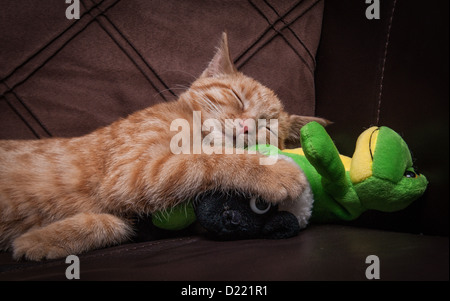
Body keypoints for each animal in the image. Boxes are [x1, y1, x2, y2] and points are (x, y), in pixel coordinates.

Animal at [1, 32, 328, 258]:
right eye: (238, 98)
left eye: (267, 126)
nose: (247, 127)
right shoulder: (131, 172)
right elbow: (207, 159)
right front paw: (276, 171)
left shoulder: (128, 194)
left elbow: (114, 224)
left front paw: (39, 240)